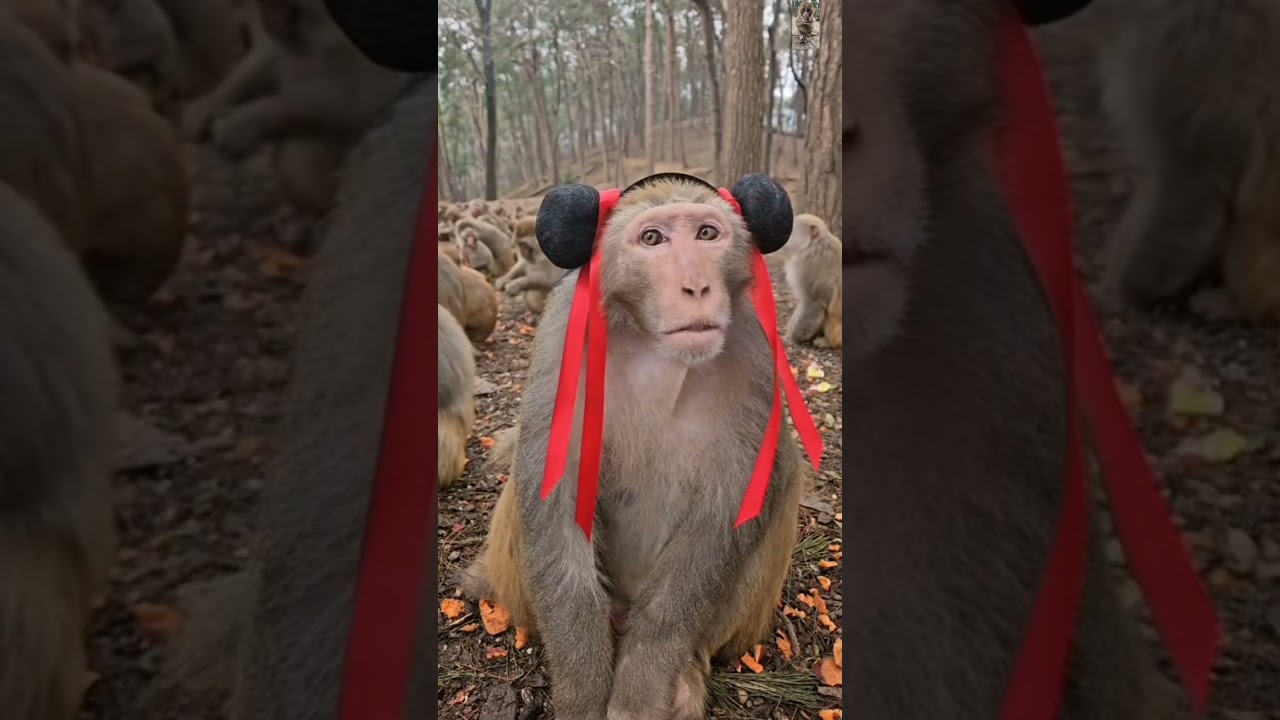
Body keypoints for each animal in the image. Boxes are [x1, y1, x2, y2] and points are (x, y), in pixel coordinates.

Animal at [460, 174, 807, 720]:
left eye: (707, 233)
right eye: (652, 239)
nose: (696, 287)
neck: (651, 341)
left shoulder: (753, 346)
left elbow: (732, 503)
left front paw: (640, 689)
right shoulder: (565, 334)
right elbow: (552, 491)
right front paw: (584, 697)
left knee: (784, 472)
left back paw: (685, 675)